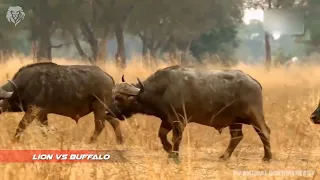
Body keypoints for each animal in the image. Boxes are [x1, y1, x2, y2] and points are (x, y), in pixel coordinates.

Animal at [109, 65, 272, 162]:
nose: (108, 111)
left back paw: (267, 156)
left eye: (119, 98)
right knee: (237, 136)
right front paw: (169, 151)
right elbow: (162, 135)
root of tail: (254, 82)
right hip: (235, 121)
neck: (163, 90)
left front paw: (175, 155)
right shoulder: (167, 120)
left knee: (264, 132)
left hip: (254, 115)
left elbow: (176, 138)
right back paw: (224, 156)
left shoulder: (179, 120)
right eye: (113, 95)